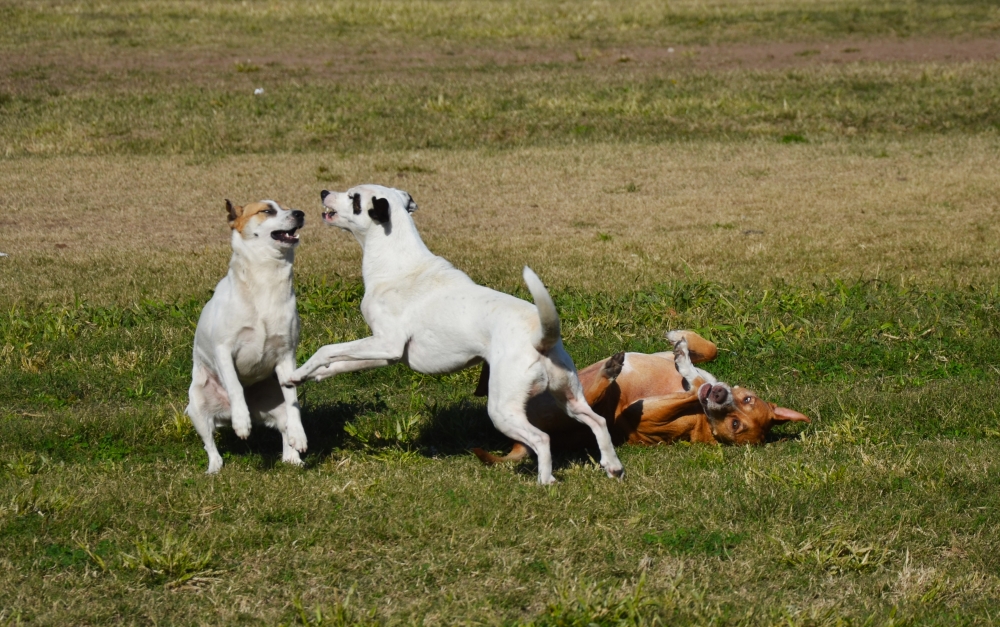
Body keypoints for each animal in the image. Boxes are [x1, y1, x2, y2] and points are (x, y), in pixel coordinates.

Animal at [186, 199, 306, 474]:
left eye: (286, 206)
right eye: (267, 210)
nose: (300, 213)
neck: (265, 280)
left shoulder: (286, 355)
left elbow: (294, 403)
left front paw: (300, 436)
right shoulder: (223, 350)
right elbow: (234, 385)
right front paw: (242, 422)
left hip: (275, 401)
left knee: (285, 427)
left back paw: (293, 456)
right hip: (197, 403)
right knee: (210, 443)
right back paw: (214, 467)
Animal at [286, 184, 620, 484]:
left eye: (353, 197)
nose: (323, 192)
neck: (398, 263)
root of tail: (543, 339)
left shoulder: (386, 343)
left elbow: (326, 349)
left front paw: (295, 374)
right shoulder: (383, 353)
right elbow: (337, 363)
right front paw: (306, 376)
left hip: (502, 410)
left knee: (542, 440)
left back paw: (546, 481)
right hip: (569, 399)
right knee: (598, 421)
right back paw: (613, 466)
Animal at [472, 332, 808, 464]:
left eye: (736, 425)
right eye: (748, 399)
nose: (720, 394)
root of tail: (520, 446)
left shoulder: (642, 416)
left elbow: (694, 385)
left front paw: (687, 367)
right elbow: (709, 349)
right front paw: (680, 341)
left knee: (589, 403)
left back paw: (609, 371)